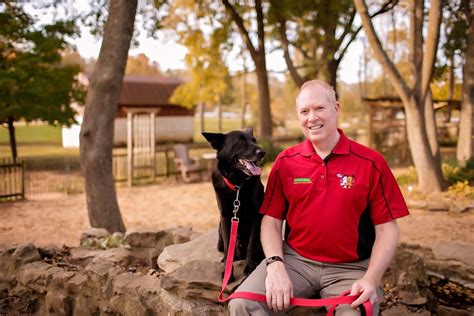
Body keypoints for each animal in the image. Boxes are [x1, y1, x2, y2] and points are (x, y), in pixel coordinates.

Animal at [202, 127, 264, 280]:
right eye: (240, 142)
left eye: (254, 140)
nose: (262, 152)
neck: (238, 186)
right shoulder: (225, 217)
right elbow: (228, 246)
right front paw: (227, 271)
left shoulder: (256, 215)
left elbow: (252, 244)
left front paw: (250, 267)